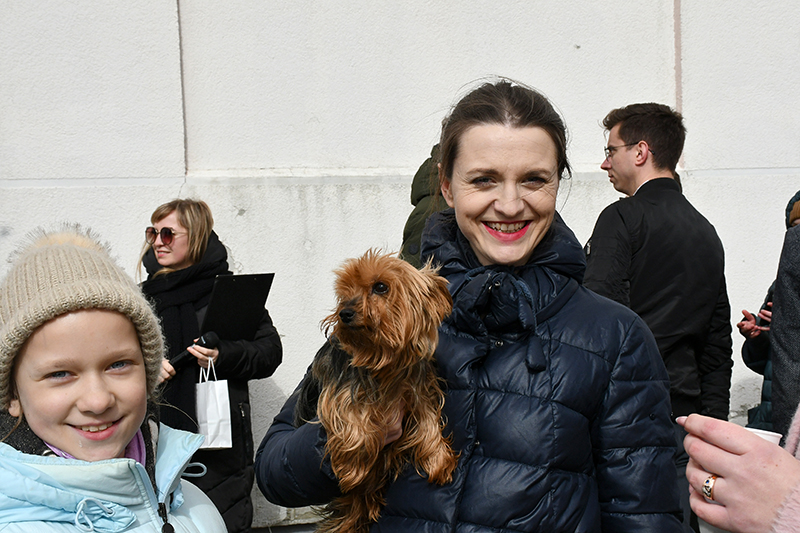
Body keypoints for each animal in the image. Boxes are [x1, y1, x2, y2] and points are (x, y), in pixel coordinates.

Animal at [293, 249, 457, 533]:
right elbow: (352, 421)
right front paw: (351, 469)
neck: (383, 358)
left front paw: (439, 460)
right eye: (345, 291)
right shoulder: (341, 390)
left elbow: (428, 421)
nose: (344, 313)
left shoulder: (417, 389)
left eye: (381, 287)